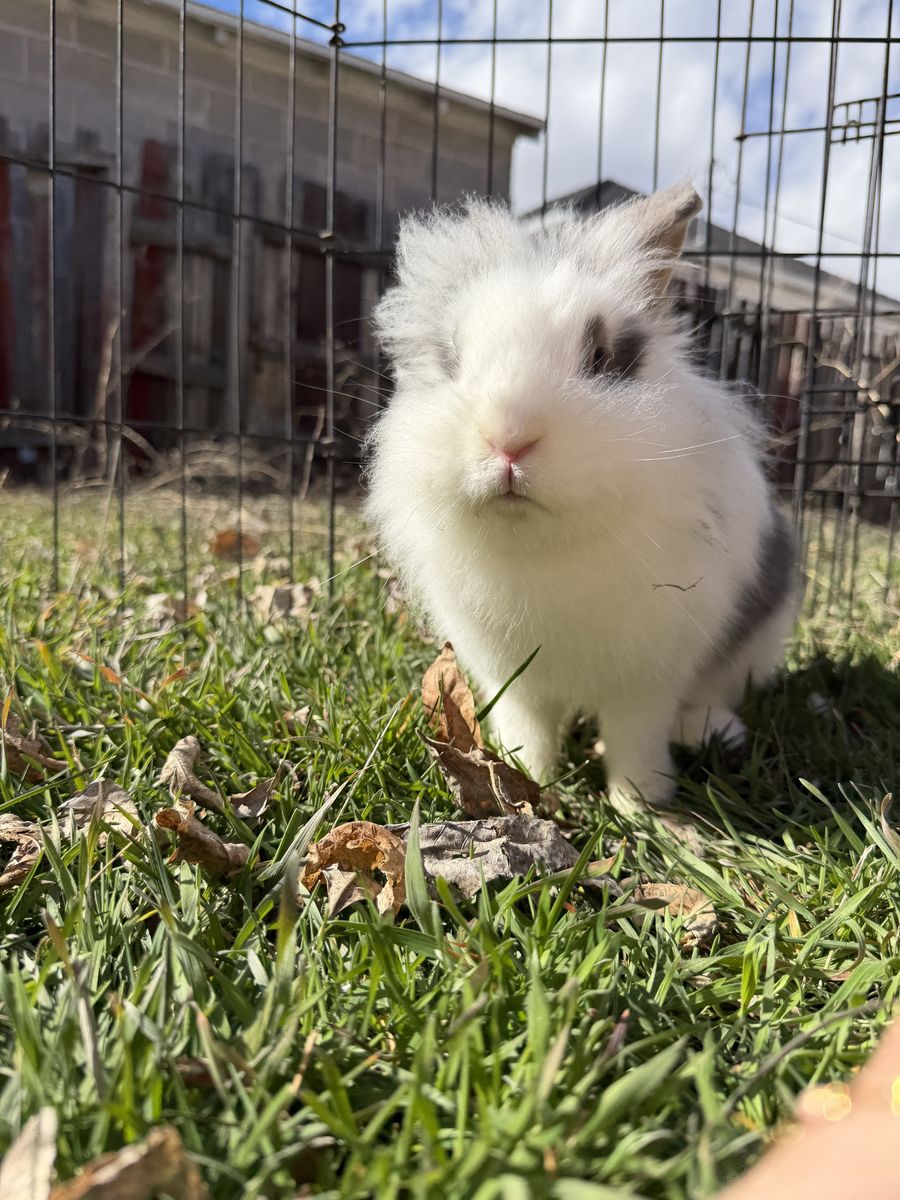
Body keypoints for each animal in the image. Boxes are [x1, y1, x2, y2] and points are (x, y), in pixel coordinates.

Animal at [364, 181, 798, 810]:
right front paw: (529, 784)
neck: (542, 550)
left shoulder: (646, 681)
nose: (508, 438)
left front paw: (638, 806)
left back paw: (714, 732)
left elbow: (637, 739)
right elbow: (531, 731)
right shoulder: (511, 680)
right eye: (450, 358)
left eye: (600, 357)